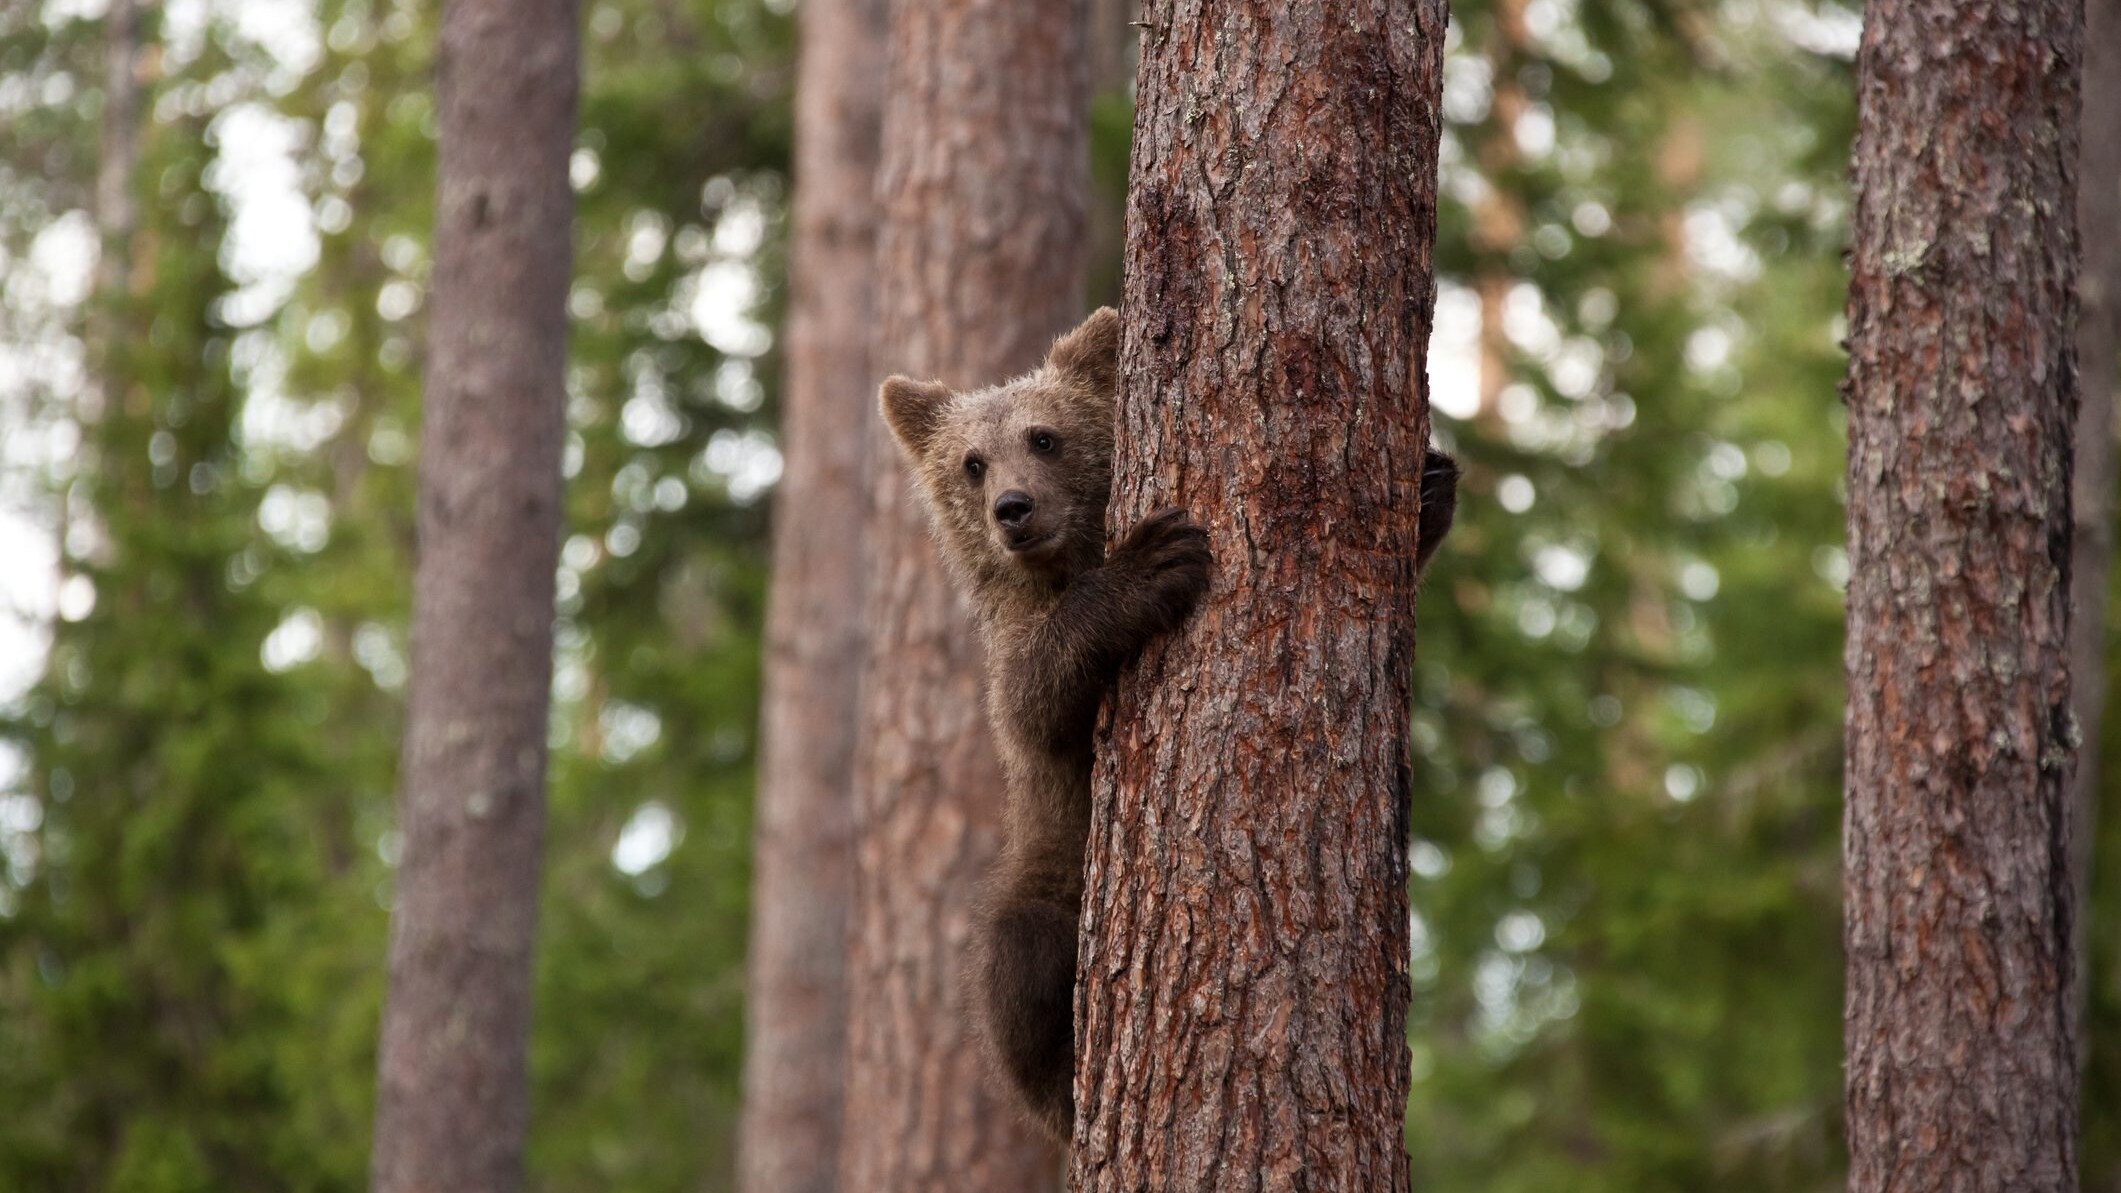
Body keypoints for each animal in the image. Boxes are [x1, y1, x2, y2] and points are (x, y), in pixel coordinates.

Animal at [877, 306, 1458, 1143]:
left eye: (1043, 437)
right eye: (971, 463)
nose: (1013, 510)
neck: (1063, 560)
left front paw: (1430, 487)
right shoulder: (1015, 655)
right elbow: (1031, 704)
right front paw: (1149, 565)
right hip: (1048, 870)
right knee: (1019, 960)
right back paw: (1067, 1079)